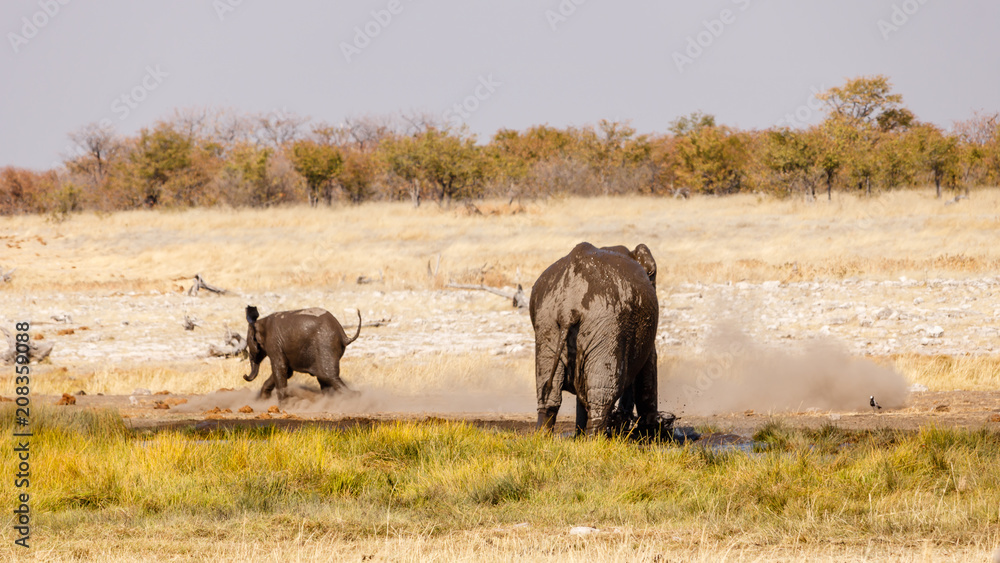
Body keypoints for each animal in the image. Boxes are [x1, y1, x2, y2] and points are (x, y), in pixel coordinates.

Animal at [530, 242, 660, 436]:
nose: (623, 418)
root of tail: (567, 307)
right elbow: (648, 368)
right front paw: (652, 433)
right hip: (607, 324)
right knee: (602, 395)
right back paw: (595, 439)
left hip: (546, 323)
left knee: (548, 391)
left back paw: (544, 437)